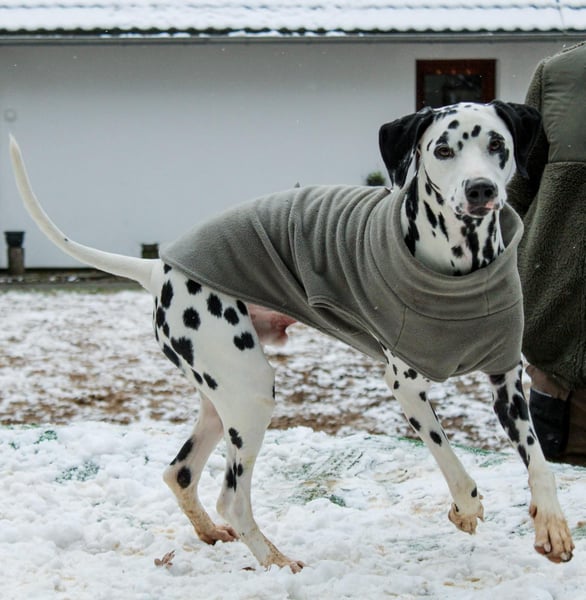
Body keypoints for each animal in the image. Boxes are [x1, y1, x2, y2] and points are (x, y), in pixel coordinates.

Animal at [9, 101, 574, 572]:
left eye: (497, 145)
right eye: (443, 150)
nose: (481, 190)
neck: (461, 268)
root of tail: (159, 268)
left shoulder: (508, 380)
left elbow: (539, 460)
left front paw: (551, 525)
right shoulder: (406, 387)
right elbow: (450, 458)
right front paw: (466, 507)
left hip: (223, 397)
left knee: (180, 473)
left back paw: (211, 532)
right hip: (251, 394)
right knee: (232, 498)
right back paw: (275, 560)